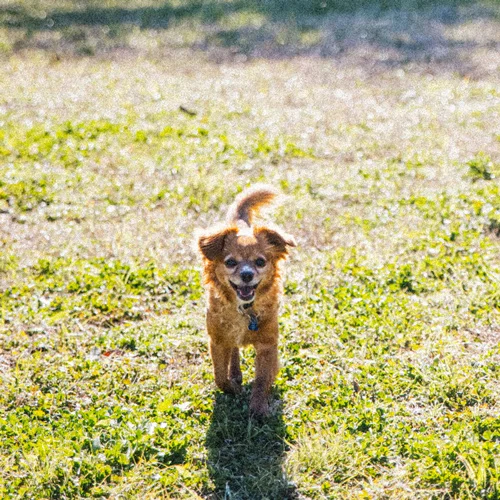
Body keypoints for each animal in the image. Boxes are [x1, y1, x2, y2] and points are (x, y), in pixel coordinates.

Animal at [197, 186, 294, 416]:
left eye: (260, 262)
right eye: (231, 262)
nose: (247, 274)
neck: (244, 311)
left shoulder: (268, 344)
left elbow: (262, 379)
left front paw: (258, 409)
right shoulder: (217, 341)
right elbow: (219, 376)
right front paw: (232, 388)